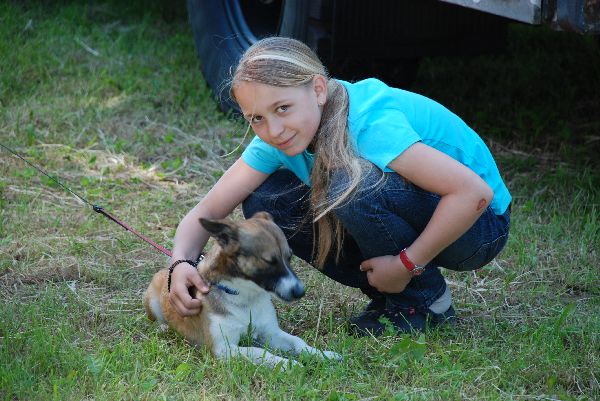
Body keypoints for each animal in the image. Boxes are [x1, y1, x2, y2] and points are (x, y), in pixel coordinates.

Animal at [144, 211, 340, 368]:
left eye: (289, 257)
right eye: (269, 261)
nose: (300, 292)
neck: (246, 297)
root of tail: (166, 271)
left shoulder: (270, 332)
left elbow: (297, 342)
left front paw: (321, 354)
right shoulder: (222, 348)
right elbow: (258, 351)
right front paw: (286, 363)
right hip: (151, 300)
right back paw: (163, 327)